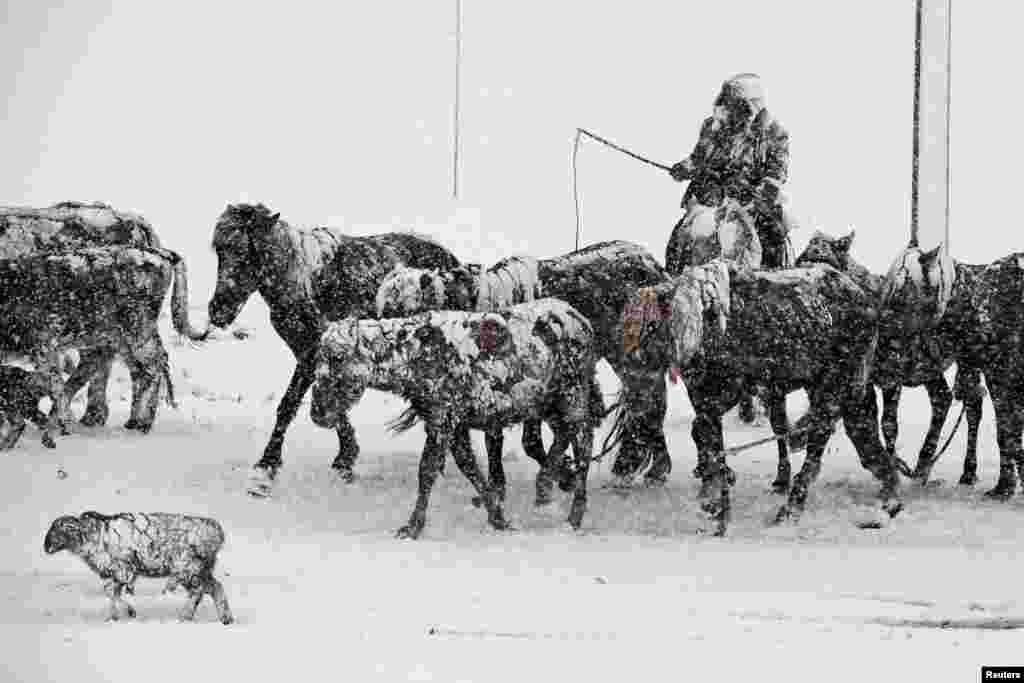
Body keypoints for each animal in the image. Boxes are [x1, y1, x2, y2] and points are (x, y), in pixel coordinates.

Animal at [43, 509, 232, 622]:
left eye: (57, 530)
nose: (46, 547)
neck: (92, 536)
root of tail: (216, 532)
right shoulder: (114, 573)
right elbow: (112, 593)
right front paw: (115, 616)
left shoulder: (122, 570)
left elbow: (112, 592)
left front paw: (127, 612)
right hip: (201, 569)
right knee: (215, 588)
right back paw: (225, 618)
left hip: (188, 568)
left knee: (198, 591)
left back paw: (185, 616)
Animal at [205, 202, 462, 497]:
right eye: (219, 251)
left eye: (246, 251)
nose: (218, 311)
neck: (305, 283)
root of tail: (451, 261)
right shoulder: (312, 357)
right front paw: (346, 456)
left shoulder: (312, 357)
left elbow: (289, 405)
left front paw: (266, 466)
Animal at [309, 299, 598, 540]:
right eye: (317, 357)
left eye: (337, 357)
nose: (317, 413)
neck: (409, 360)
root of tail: (584, 321)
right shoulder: (456, 424)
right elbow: (469, 467)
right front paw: (498, 518)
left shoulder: (442, 419)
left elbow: (427, 471)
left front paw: (412, 526)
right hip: (549, 405)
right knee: (564, 437)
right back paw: (553, 485)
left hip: (572, 396)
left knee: (582, 443)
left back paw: (569, 512)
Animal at [610, 260, 901, 532]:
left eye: (650, 327)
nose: (632, 401)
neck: (701, 321)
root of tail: (864, 299)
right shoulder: (706, 397)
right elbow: (705, 435)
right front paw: (712, 493)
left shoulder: (726, 391)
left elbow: (710, 439)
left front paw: (719, 507)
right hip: (845, 389)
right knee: (863, 434)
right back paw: (889, 497)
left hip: (833, 387)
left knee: (819, 444)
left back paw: (792, 508)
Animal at [794, 232, 987, 489]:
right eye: (801, 259)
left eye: (828, 264)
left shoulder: (888, 377)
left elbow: (885, 424)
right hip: (931, 369)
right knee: (942, 399)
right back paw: (923, 466)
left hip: (968, 360)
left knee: (973, 405)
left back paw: (967, 471)